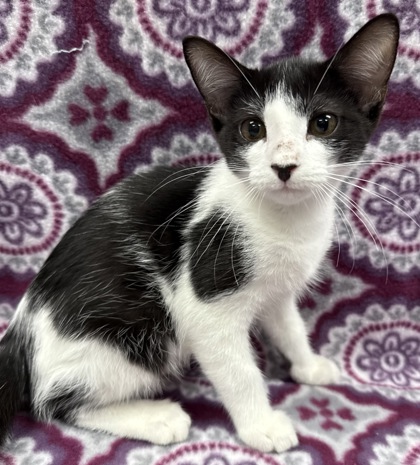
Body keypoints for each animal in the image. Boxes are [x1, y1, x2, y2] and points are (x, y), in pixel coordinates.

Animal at [0, 13, 399, 453]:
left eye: (323, 123)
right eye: (252, 129)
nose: (283, 166)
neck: (285, 220)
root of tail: (19, 336)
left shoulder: (278, 290)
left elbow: (289, 324)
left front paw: (308, 365)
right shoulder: (206, 299)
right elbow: (238, 370)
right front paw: (261, 426)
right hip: (130, 339)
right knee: (54, 402)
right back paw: (154, 417)